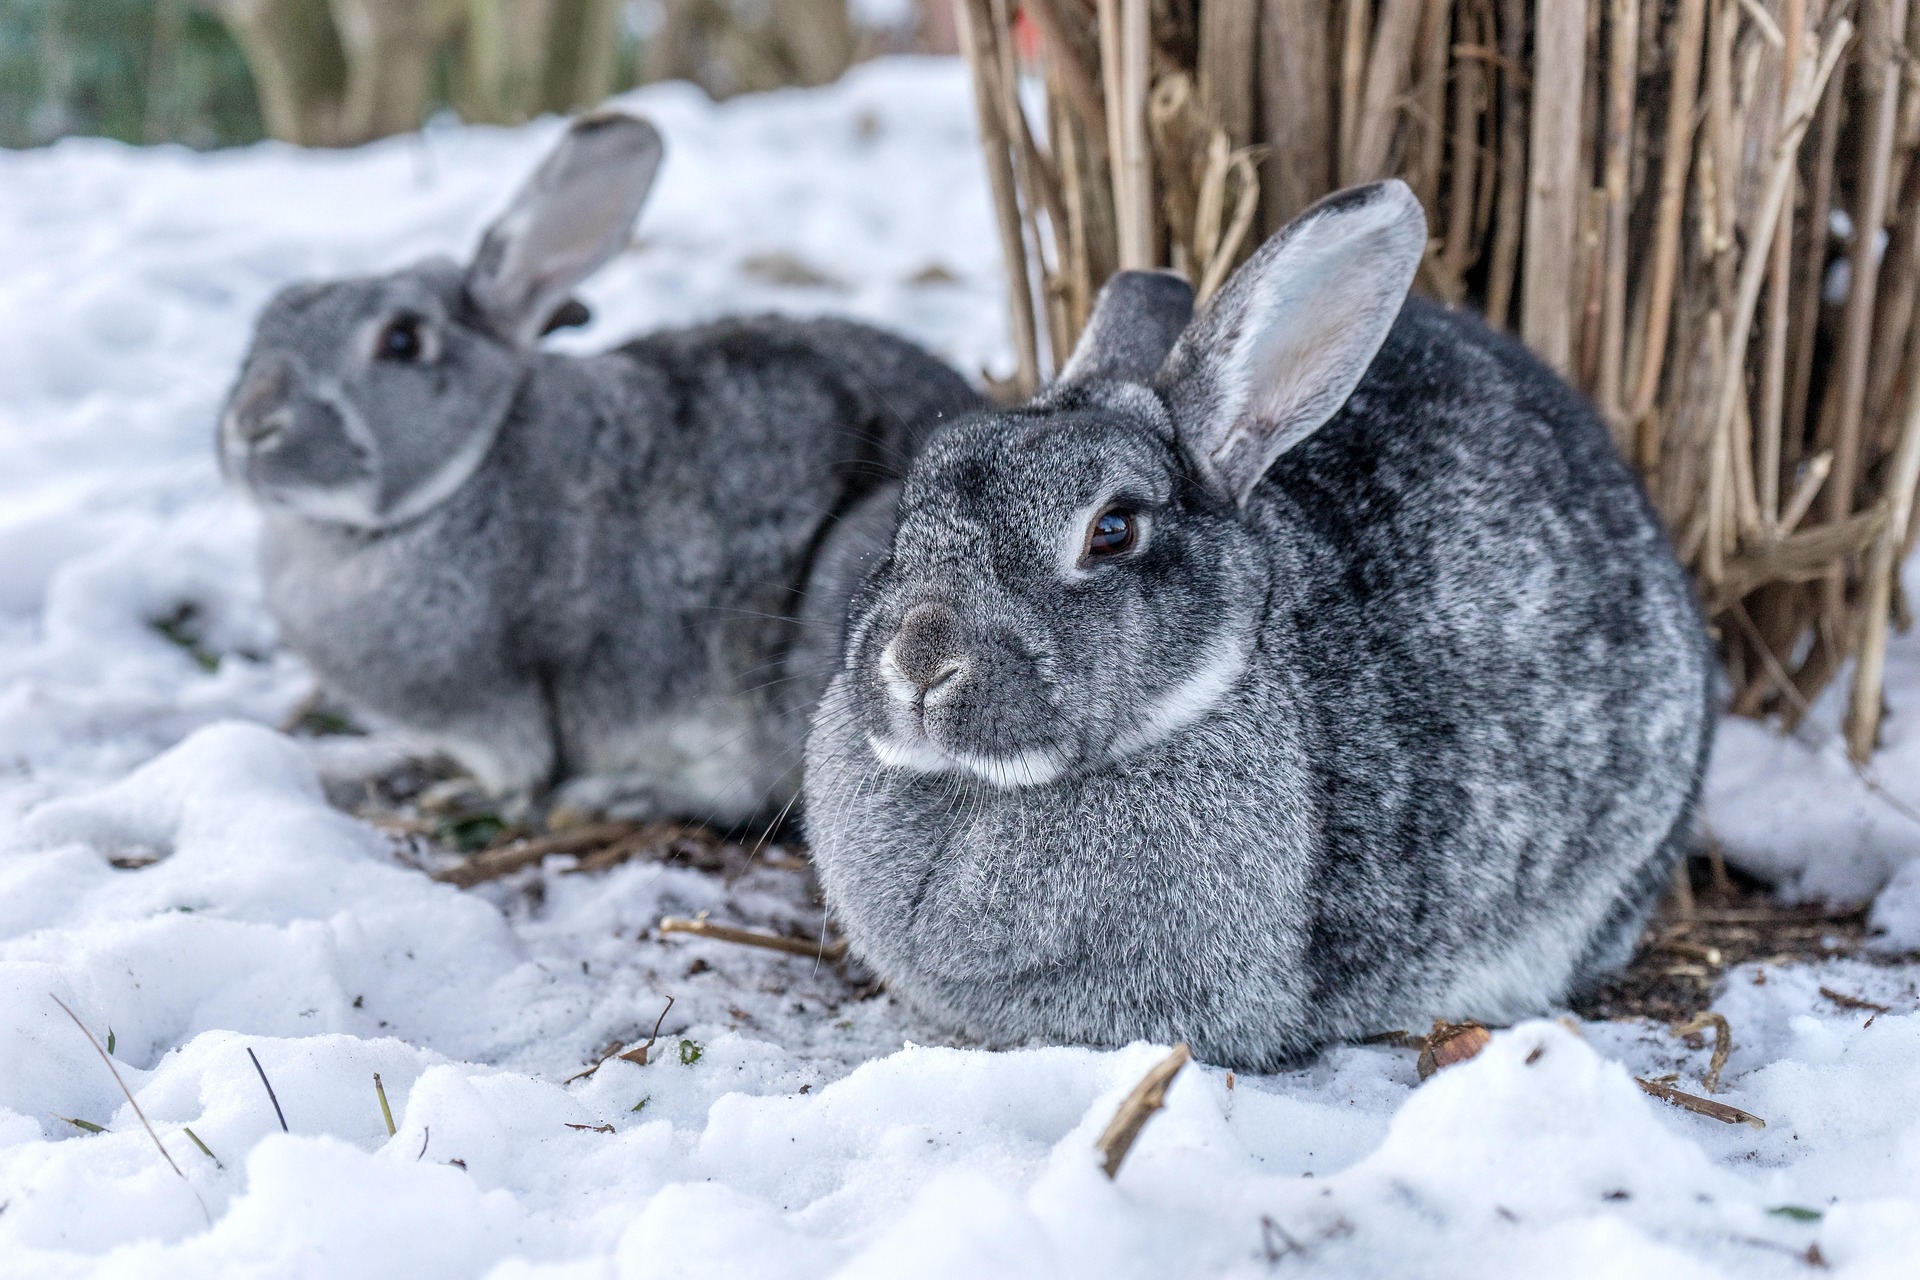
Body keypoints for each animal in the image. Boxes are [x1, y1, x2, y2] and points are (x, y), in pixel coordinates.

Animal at [219, 111, 984, 826]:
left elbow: (519, 771)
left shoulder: (505, 708)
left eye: (401, 340)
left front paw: (469, 796)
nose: (250, 426)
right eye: (264, 324)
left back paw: (620, 796)